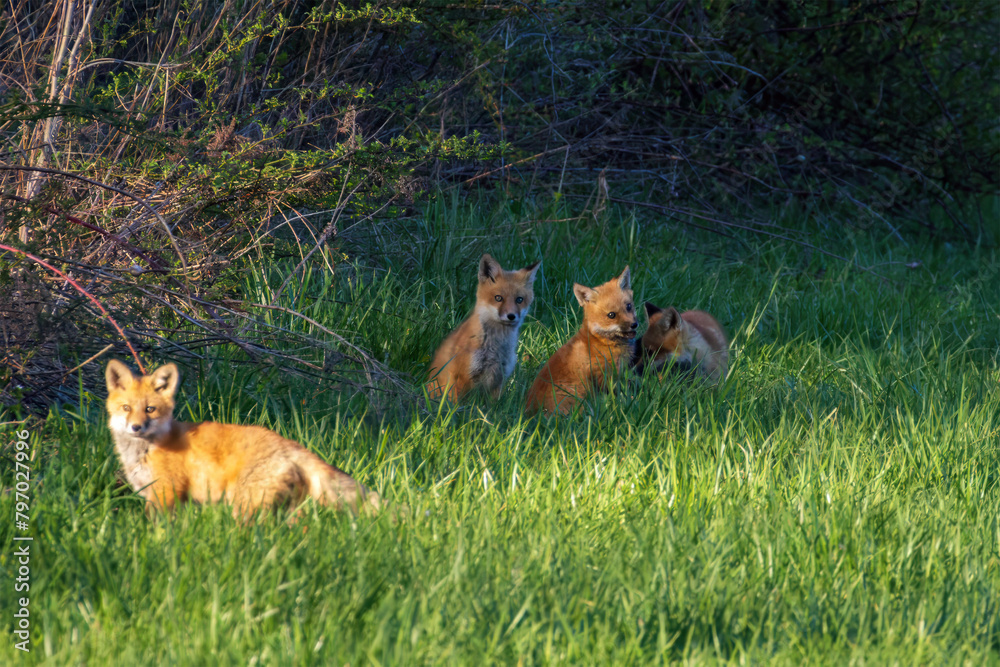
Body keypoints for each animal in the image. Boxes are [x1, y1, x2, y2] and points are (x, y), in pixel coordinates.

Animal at [104, 359, 382, 519]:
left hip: (245, 506)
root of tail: (290, 445)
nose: (136, 427)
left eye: (150, 409)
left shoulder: (166, 493)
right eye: (126, 408)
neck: (144, 451)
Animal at [426, 254, 541, 402]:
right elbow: (461, 404)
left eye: (519, 300)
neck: (495, 347)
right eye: (498, 298)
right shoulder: (464, 376)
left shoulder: (499, 378)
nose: (511, 316)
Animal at [525, 266, 638, 415]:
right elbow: (618, 396)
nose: (634, 325)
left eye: (629, 306)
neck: (601, 341)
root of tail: (531, 412)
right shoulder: (602, 376)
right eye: (611, 315)